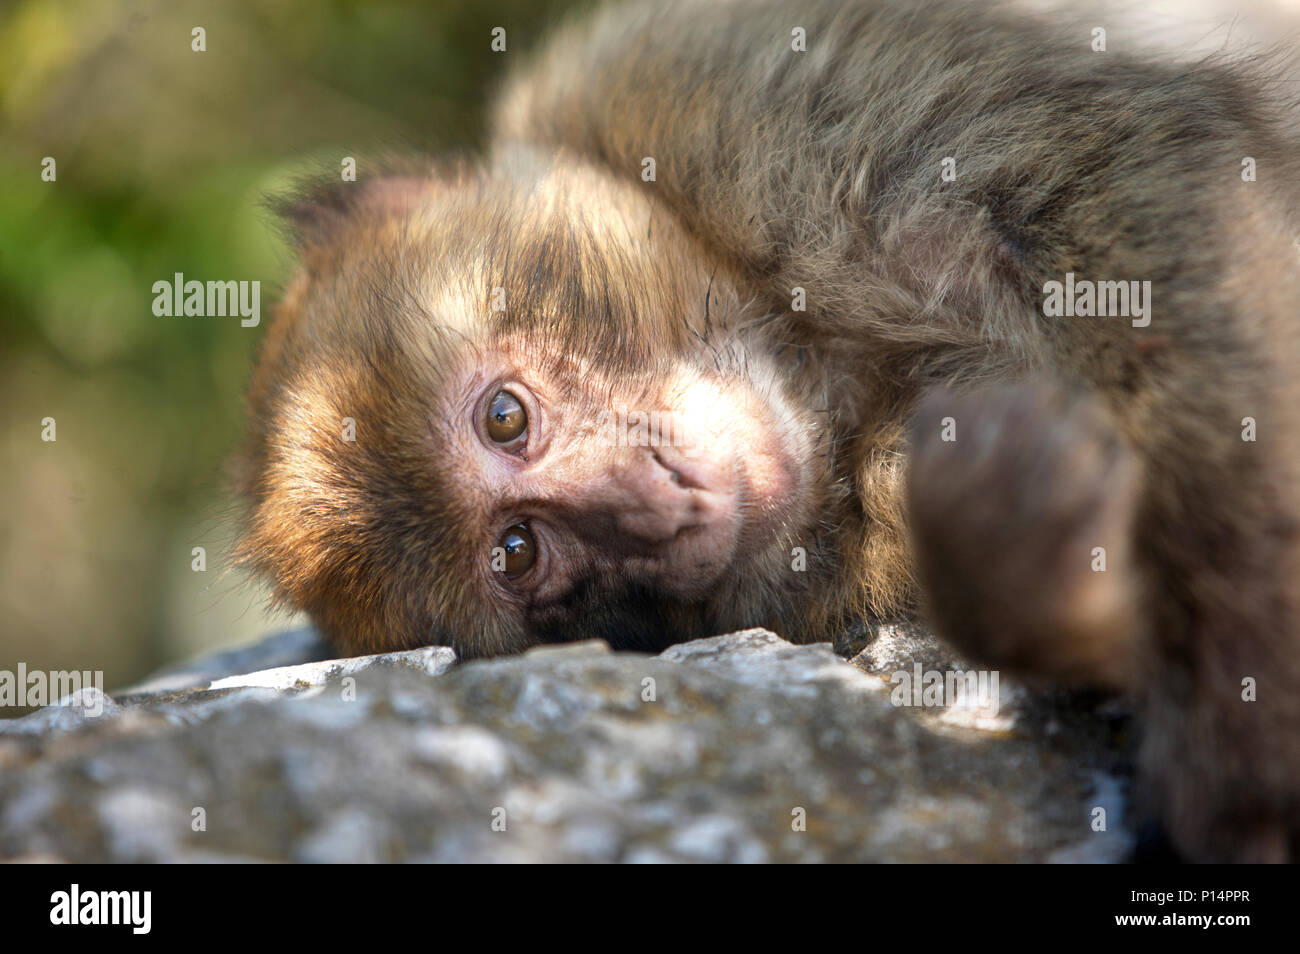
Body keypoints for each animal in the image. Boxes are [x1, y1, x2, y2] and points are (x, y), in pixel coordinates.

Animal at [233, 0, 1300, 863]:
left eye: (504, 416)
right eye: (520, 554)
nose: (657, 508)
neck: (822, 375)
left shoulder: (739, 98)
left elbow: (1157, 214)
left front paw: (1240, 782)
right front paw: (1034, 574)